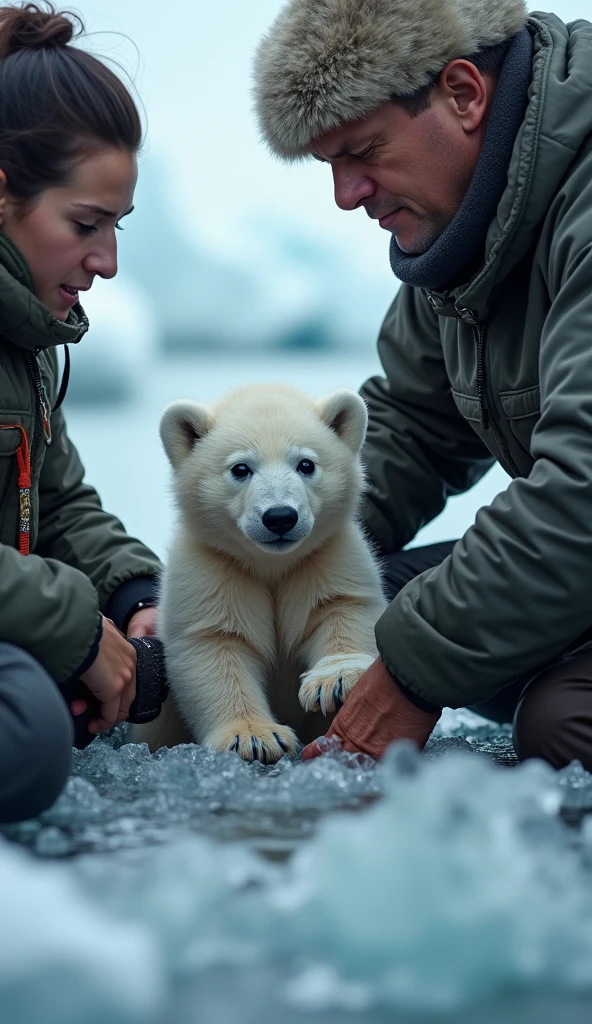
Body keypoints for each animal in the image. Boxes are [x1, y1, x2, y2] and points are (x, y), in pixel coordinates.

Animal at [130, 383, 387, 762]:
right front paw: (254, 737)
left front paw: (335, 681)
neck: (271, 564)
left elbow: (342, 607)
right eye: (240, 468)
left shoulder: (324, 556)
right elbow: (216, 647)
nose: (280, 516)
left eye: (306, 464)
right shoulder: (214, 569)